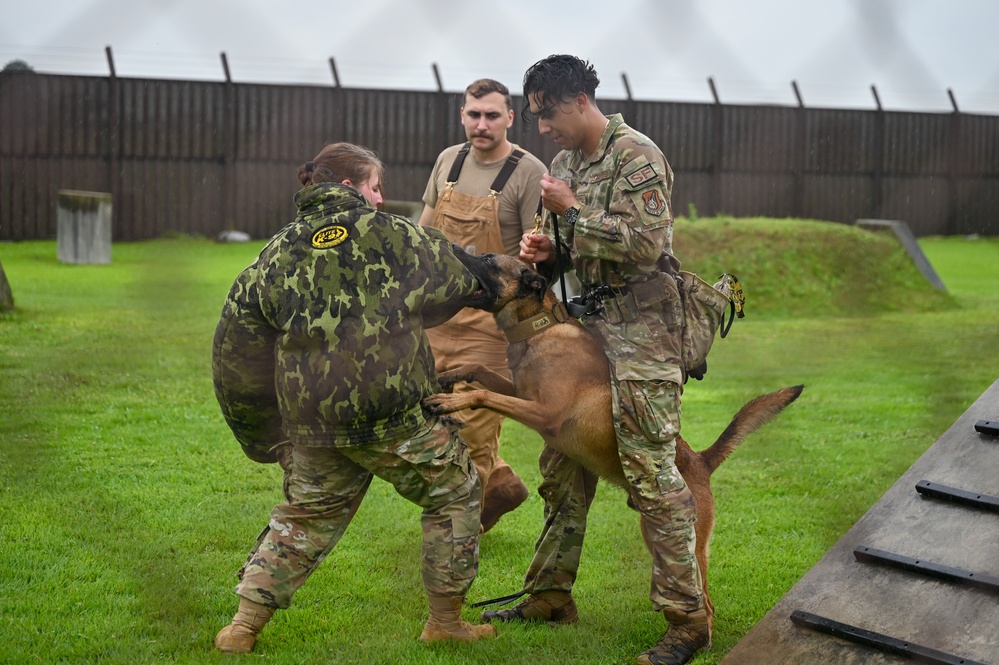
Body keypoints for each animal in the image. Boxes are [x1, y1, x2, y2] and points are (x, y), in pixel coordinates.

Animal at [424, 252, 804, 620]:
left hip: (680, 538)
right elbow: (481, 371)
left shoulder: (544, 414)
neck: (539, 330)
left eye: (488, 260)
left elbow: (484, 394)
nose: (454, 249)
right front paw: (449, 376)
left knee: (706, 602)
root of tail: (700, 461)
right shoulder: (520, 393)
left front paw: (452, 400)